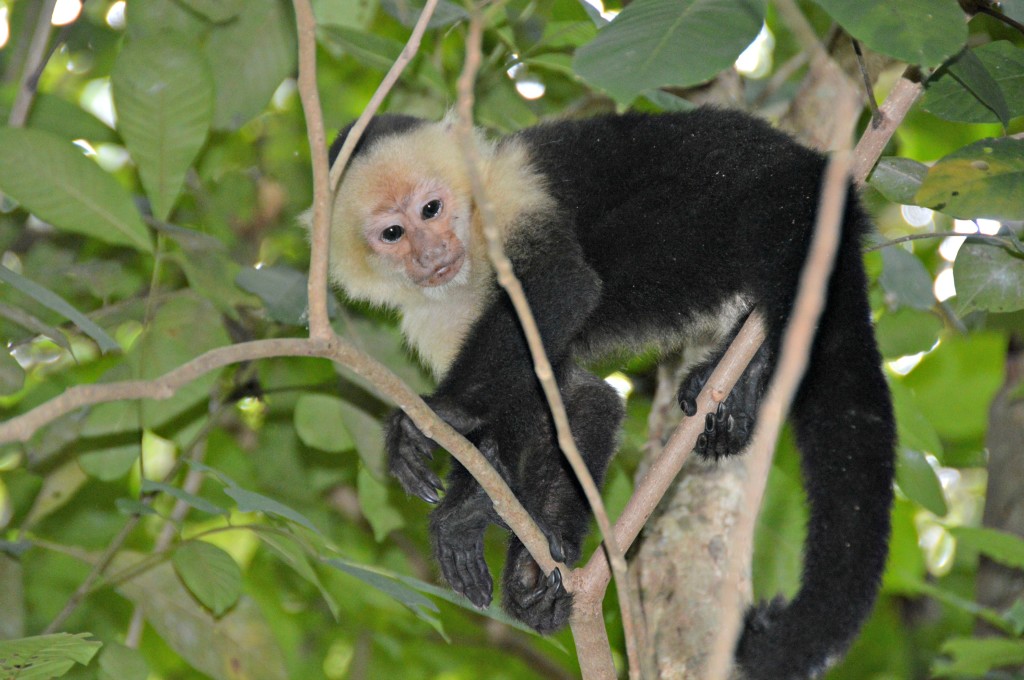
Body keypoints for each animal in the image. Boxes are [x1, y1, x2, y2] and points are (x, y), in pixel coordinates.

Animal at [327, 109, 897, 675]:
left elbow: (561, 285)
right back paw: (744, 375)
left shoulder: (508, 191)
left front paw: (448, 419)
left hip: (757, 206)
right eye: (393, 233)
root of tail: (813, 175)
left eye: (432, 208)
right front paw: (510, 551)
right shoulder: (436, 318)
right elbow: (581, 400)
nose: (431, 253)